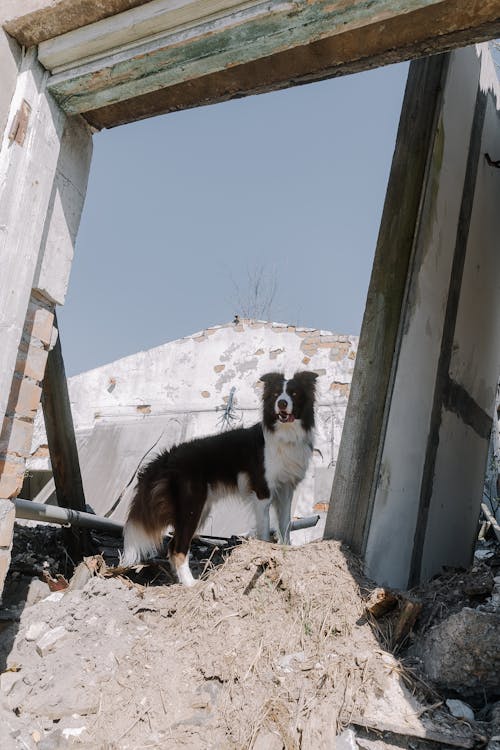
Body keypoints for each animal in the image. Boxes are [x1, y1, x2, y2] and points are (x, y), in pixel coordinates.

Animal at [120, 370, 316, 588]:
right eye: (275, 395)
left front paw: (287, 550)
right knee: (178, 548)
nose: (281, 403)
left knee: (172, 544)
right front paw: (264, 553)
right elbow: (265, 529)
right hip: (192, 506)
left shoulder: (286, 489)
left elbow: (285, 524)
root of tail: (166, 457)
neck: (285, 434)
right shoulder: (262, 491)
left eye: (294, 394)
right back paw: (191, 584)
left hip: (199, 508)